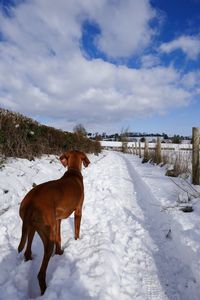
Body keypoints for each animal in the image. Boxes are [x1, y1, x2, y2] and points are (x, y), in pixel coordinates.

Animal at [18, 150, 90, 296]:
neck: (73, 171)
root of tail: (31, 201)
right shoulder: (78, 211)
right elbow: (77, 231)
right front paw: (77, 241)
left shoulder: (57, 220)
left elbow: (59, 237)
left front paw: (60, 253)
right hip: (46, 235)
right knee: (40, 274)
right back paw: (45, 290)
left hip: (32, 227)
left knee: (27, 251)